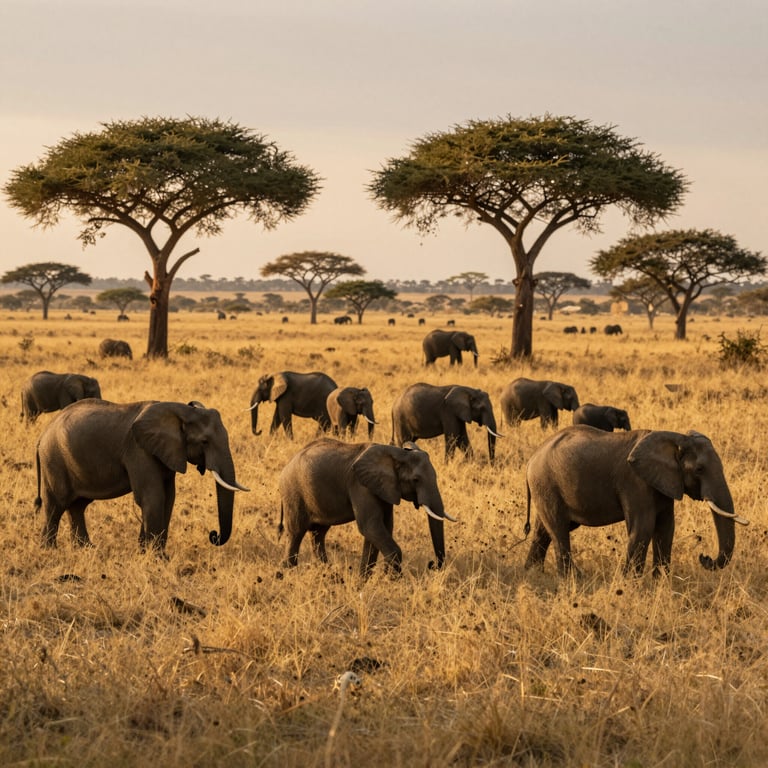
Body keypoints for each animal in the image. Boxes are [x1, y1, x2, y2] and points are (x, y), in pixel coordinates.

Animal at [34, 399, 248, 552]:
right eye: (204, 441)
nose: (213, 535)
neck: (180, 411)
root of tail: (42, 435)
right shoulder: (139, 451)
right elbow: (152, 497)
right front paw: (156, 558)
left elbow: (168, 498)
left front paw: (148, 553)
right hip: (53, 460)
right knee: (55, 504)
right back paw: (50, 551)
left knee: (77, 506)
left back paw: (86, 550)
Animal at [278, 438, 455, 575]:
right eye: (416, 480)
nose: (432, 565)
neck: (397, 454)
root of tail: (287, 464)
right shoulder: (360, 485)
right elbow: (370, 526)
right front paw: (393, 581)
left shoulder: (384, 488)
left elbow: (382, 528)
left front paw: (364, 580)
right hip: (293, 492)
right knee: (296, 533)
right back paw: (289, 573)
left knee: (318, 534)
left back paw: (327, 572)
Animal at [523, 425, 748, 577]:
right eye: (700, 469)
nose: (704, 557)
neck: (676, 439)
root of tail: (531, 458)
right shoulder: (636, 483)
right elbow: (644, 527)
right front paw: (631, 584)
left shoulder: (664, 483)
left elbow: (666, 528)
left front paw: (660, 583)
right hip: (546, 483)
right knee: (559, 529)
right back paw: (571, 578)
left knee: (543, 530)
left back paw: (533, 573)